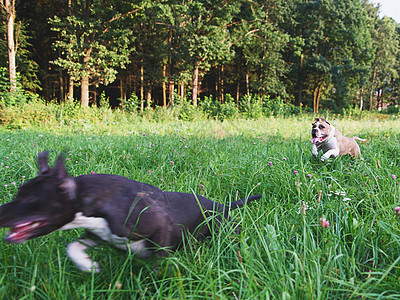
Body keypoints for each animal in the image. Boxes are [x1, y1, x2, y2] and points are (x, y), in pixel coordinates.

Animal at [0, 152, 260, 272]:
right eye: (20, 192)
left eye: (31, 198)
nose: (0, 213)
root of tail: (223, 206)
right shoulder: (97, 234)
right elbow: (72, 246)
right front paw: (87, 265)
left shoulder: (160, 226)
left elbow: (160, 261)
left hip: (226, 230)